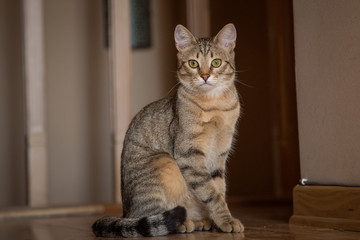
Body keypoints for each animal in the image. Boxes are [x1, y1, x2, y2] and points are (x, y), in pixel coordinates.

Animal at [93, 23, 245, 238]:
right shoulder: (189, 153)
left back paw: (200, 221)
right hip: (164, 162)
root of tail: (124, 213)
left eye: (216, 62)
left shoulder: (220, 155)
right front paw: (226, 220)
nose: (204, 75)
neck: (214, 105)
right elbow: (211, 193)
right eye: (193, 63)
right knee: (151, 216)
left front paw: (220, 221)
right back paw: (182, 223)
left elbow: (219, 189)